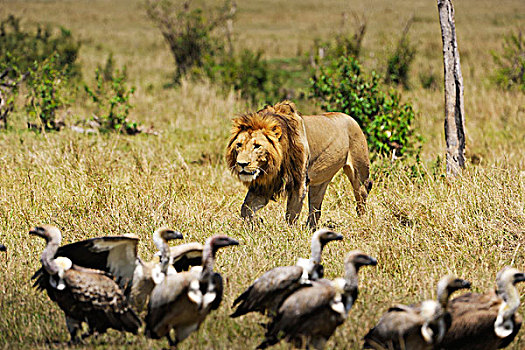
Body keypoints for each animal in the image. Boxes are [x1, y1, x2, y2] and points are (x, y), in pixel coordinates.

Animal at [224, 100, 368, 228]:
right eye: (239, 145)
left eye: (257, 146)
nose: (241, 163)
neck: (273, 166)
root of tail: (351, 118)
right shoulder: (264, 186)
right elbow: (246, 208)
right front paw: (254, 224)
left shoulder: (298, 182)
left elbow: (291, 214)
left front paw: (289, 233)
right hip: (320, 183)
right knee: (315, 208)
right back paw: (311, 229)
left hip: (360, 173)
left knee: (361, 198)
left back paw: (361, 222)